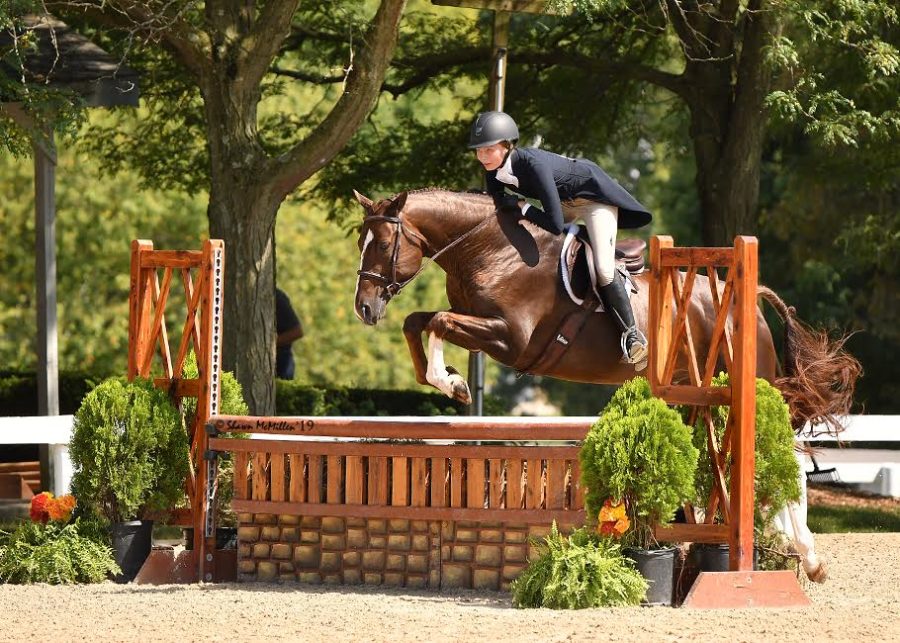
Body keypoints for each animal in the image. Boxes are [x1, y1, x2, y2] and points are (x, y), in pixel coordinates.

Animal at [350, 187, 856, 438]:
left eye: (383, 244)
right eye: (360, 240)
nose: (364, 307)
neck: (491, 248)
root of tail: (747, 301)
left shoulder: (509, 339)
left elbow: (437, 321)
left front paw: (451, 381)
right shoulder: (476, 323)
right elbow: (417, 321)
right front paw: (448, 380)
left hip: (752, 379)